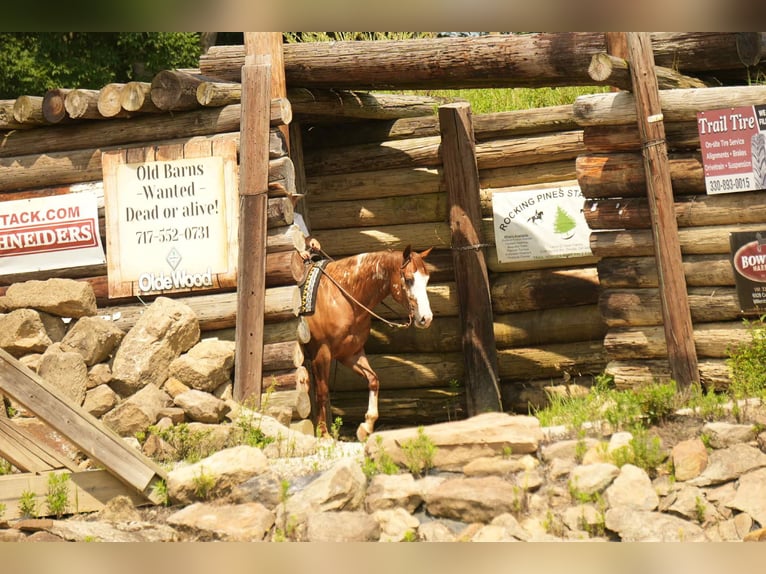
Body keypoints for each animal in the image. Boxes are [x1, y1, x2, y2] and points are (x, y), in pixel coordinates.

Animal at [304, 245, 434, 441]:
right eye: (409, 279)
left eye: (426, 280)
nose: (426, 318)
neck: (342, 298)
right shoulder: (321, 353)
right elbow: (322, 391)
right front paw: (324, 433)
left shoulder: (351, 353)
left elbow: (373, 380)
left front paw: (366, 426)